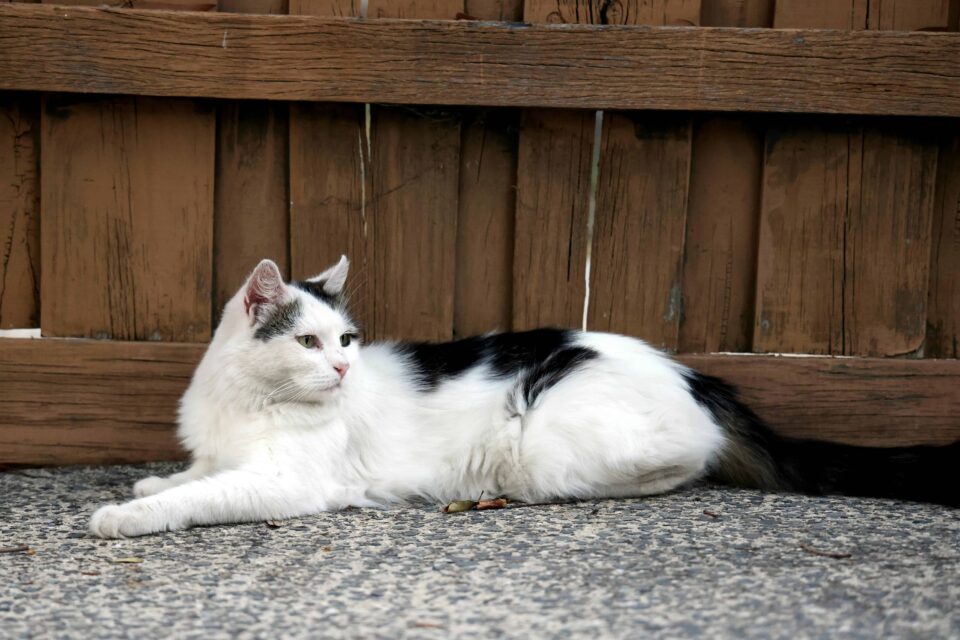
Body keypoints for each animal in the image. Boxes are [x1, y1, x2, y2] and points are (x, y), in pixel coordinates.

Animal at [88, 258, 952, 536]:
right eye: (309, 343)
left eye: (347, 341)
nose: (340, 371)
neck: (244, 398)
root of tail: (694, 374)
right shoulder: (227, 450)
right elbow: (195, 473)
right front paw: (150, 481)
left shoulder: (288, 483)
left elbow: (203, 496)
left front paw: (126, 515)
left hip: (541, 445)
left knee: (685, 465)